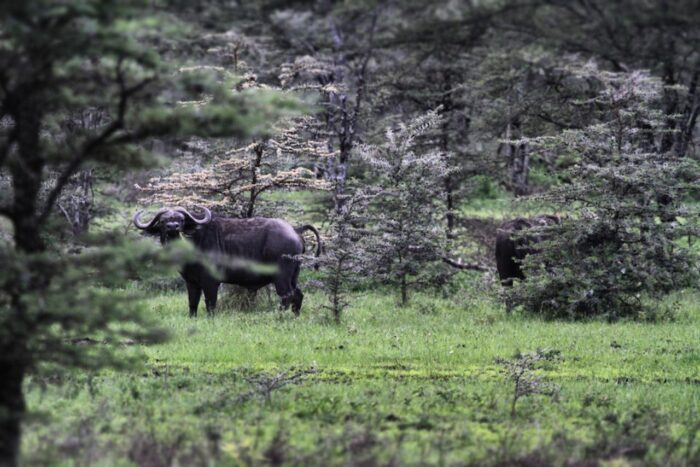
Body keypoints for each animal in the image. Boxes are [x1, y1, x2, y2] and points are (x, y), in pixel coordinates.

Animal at [133, 208, 322, 318]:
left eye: (180, 219)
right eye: (163, 221)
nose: (173, 227)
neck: (192, 243)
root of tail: (295, 229)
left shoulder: (210, 282)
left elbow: (210, 303)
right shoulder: (191, 282)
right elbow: (192, 302)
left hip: (281, 276)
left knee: (287, 296)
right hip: (294, 275)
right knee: (298, 295)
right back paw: (295, 316)